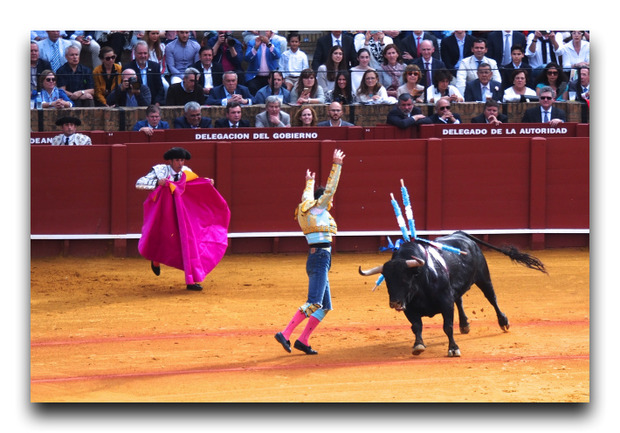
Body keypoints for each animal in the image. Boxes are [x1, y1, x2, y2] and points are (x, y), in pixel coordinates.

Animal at [359, 231, 546, 357]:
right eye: (387, 280)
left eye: (406, 278)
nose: (395, 303)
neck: (422, 279)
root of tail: (462, 234)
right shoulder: (410, 308)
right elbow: (417, 326)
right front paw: (418, 345)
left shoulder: (445, 302)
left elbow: (447, 326)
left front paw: (453, 349)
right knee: (460, 300)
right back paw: (464, 325)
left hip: (484, 278)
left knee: (492, 298)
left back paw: (503, 322)